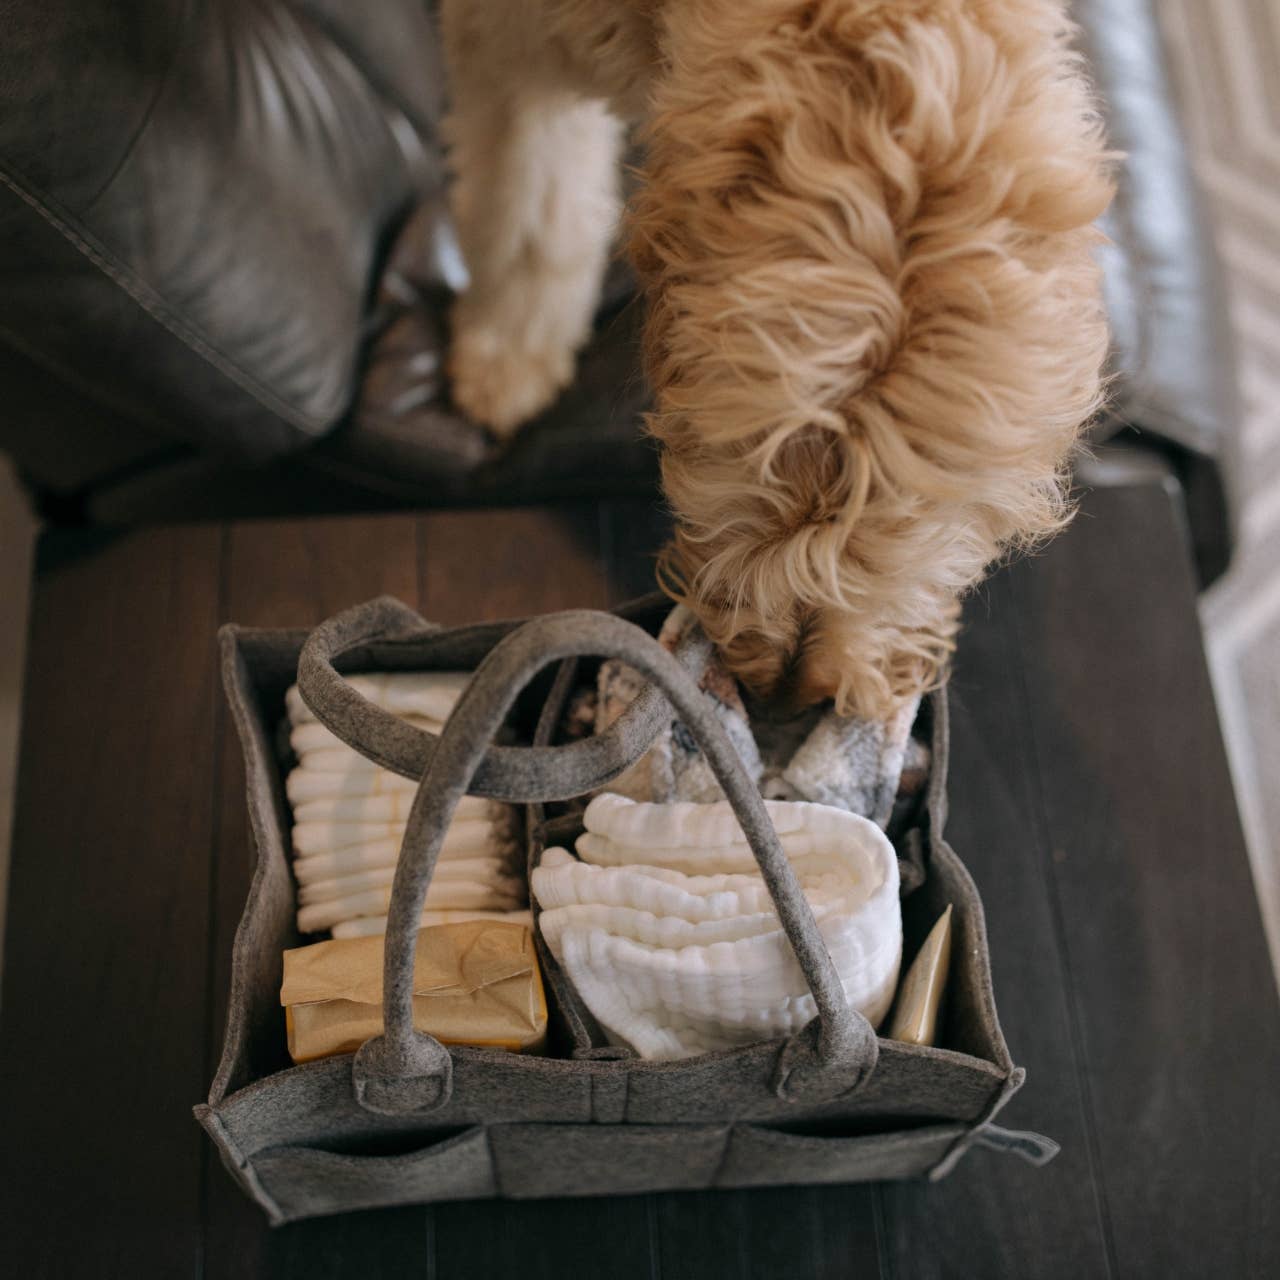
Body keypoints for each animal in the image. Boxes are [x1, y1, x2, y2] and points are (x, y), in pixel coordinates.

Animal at [445, 0, 1116, 721]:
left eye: (925, 504)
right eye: (767, 466)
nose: (789, 692)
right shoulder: (508, 46)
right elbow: (530, 214)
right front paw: (509, 356)